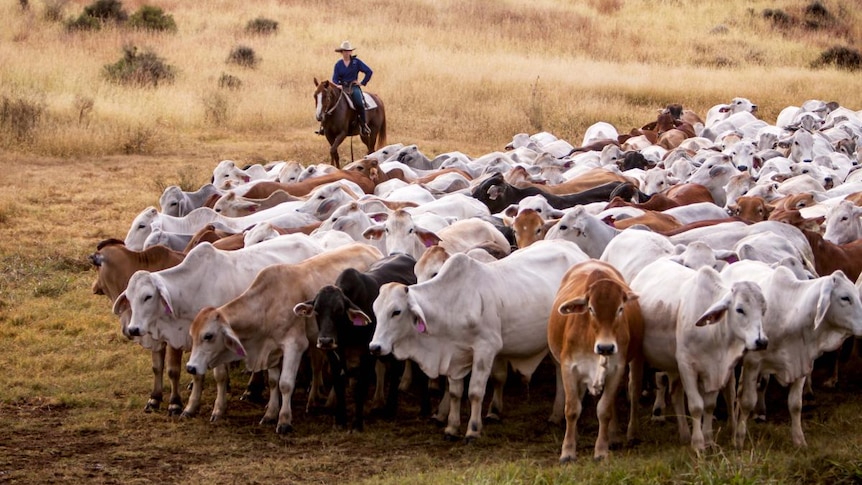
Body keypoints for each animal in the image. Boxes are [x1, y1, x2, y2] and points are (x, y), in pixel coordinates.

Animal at [296, 251, 418, 430]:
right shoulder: (334, 355)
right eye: (317, 310)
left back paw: (390, 409)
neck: (348, 332)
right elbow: (338, 384)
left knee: (396, 371)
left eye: (339, 310)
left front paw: (357, 424)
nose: (325, 341)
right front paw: (340, 420)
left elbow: (361, 387)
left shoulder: (368, 353)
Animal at [552, 260, 644, 462]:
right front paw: (568, 451)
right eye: (591, 309)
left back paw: (623, 435)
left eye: (620, 309)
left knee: (632, 392)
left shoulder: (617, 369)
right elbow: (572, 409)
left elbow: (604, 410)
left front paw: (601, 450)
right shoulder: (568, 367)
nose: (606, 348)